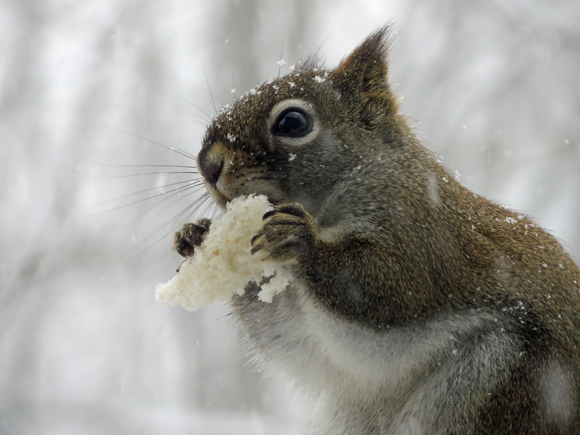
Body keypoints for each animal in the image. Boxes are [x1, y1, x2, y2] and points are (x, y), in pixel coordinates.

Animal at [171, 29, 580, 434]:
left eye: (292, 122)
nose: (208, 164)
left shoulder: (421, 230)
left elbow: (389, 286)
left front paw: (302, 240)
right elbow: (291, 338)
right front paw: (195, 235)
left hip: (501, 380)